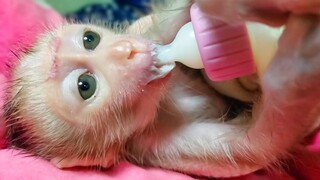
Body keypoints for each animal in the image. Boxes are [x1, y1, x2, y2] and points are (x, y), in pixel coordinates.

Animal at [3, 0, 320, 179]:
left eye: (90, 39)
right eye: (85, 86)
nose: (126, 50)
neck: (163, 100)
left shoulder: (143, 32)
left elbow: (165, 26)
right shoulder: (147, 147)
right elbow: (251, 148)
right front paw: (298, 63)